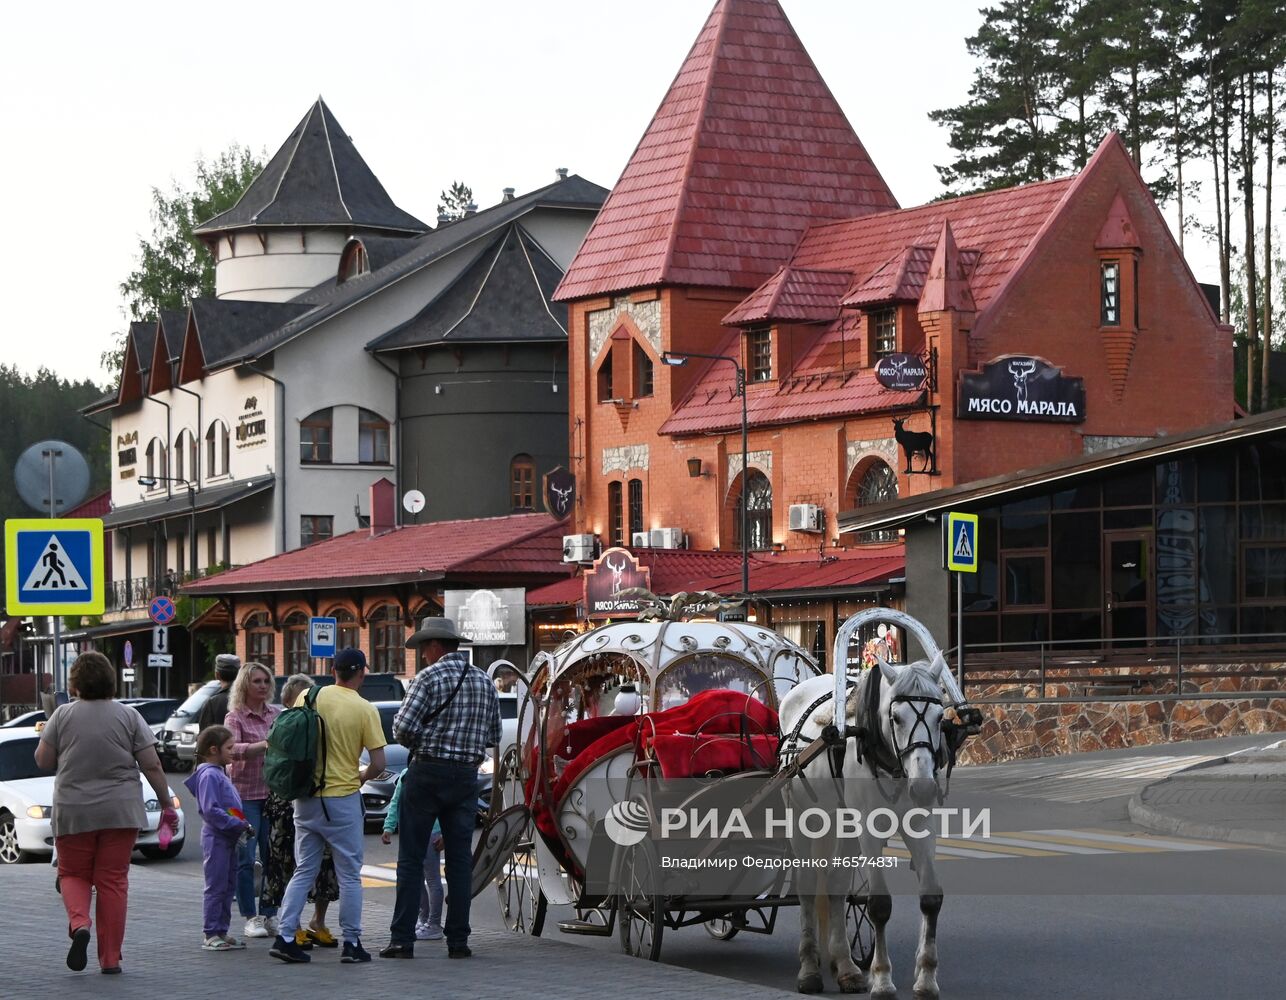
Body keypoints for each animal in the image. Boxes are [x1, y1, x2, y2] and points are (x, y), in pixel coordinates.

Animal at [776, 650, 961, 997]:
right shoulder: (868, 828)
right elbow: (879, 905)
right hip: (801, 817)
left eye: (939, 716)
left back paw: (846, 967)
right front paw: (883, 979)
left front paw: (926, 978)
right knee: (807, 885)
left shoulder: (920, 823)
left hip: (840, 822)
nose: (924, 788)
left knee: (835, 884)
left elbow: (931, 897)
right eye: (896, 717)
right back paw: (809, 969)